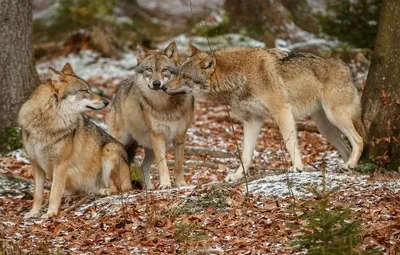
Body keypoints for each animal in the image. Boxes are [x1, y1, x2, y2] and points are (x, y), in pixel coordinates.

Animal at [19, 62, 131, 218]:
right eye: (85, 90)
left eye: (90, 89)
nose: (107, 101)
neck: (48, 122)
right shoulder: (36, 164)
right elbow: (38, 194)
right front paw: (33, 213)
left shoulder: (60, 165)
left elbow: (54, 193)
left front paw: (50, 213)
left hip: (110, 149)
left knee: (122, 188)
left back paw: (105, 190)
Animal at [106, 41, 194, 189]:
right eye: (149, 70)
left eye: (164, 70)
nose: (156, 83)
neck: (165, 106)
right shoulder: (157, 137)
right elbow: (163, 165)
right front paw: (165, 185)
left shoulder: (180, 137)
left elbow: (178, 165)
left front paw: (181, 184)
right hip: (120, 142)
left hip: (149, 148)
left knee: (143, 166)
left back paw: (149, 188)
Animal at [163, 44, 366, 182]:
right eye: (177, 72)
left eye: (184, 76)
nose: (163, 87)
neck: (239, 76)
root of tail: (346, 68)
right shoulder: (252, 120)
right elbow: (245, 155)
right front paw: (237, 176)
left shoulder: (282, 112)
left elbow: (290, 143)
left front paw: (297, 168)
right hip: (326, 129)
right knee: (346, 147)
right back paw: (347, 167)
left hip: (335, 117)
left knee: (359, 140)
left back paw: (350, 164)